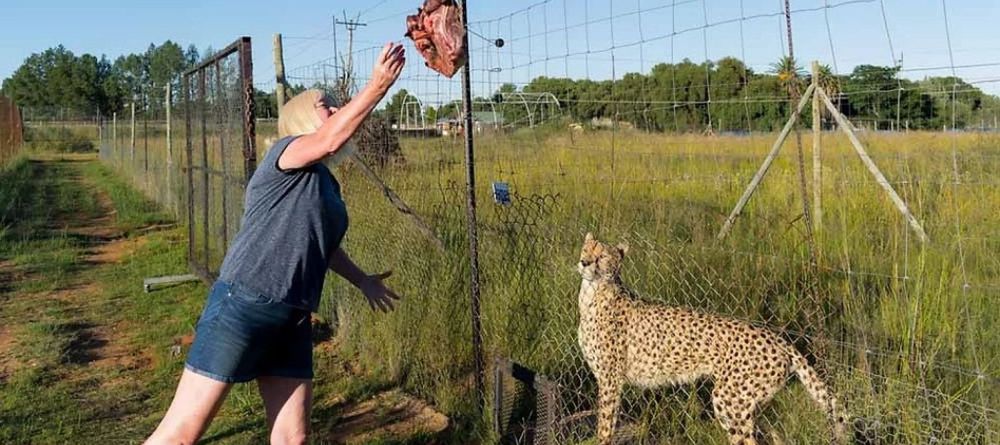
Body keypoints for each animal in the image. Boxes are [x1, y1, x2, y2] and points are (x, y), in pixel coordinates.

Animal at [576, 234, 848, 442]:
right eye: (586, 249)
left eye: (602, 256)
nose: (584, 262)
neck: (592, 294)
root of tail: (777, 338)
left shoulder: (611, 379)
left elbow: (605, 427)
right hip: (749, 404)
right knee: (773, 436)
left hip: (730, 400)